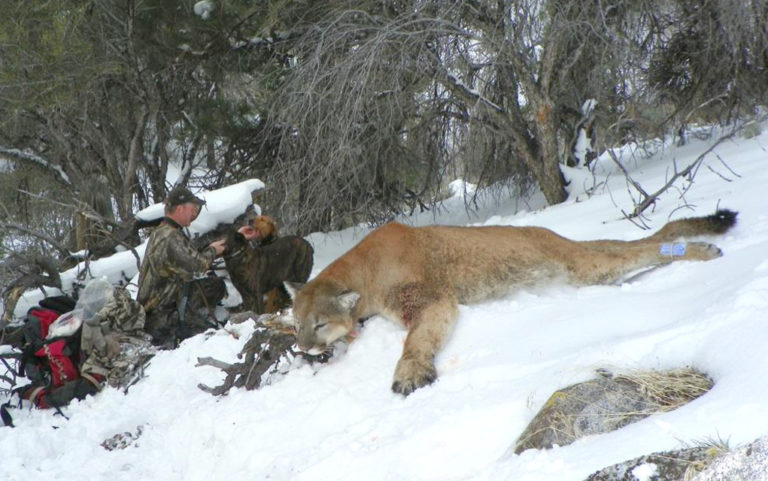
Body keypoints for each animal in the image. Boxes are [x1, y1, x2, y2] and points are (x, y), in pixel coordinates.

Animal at [285, 209, 737, 396]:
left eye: (319, 323)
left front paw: (410, 373)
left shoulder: (432, 300)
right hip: (584, 272)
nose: (303, 347)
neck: (363, 270)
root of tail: (554, 234)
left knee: (646, 249)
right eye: (296, 324)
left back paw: (702, 250)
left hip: (583, 266)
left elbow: (415, 340)